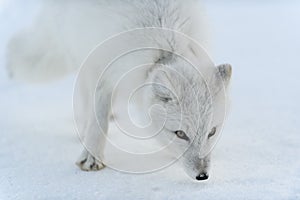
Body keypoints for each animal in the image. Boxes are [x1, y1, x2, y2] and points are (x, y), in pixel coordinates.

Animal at [6, 0, 232, 181]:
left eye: (212, 131)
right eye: (180, 133)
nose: (202, 176)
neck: (164, 49)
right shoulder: (104, 69)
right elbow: (98, 118)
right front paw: (91, 158)